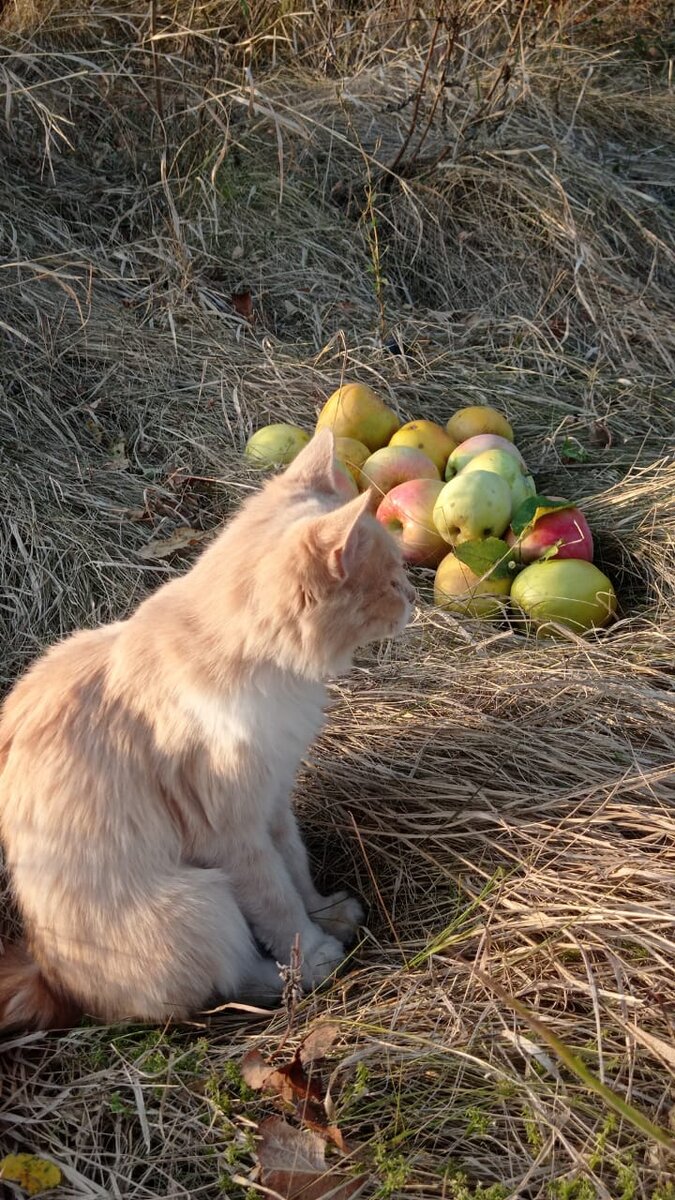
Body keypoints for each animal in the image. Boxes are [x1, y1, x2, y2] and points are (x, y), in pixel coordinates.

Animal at [0, 432, 413, 1032]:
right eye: (391, 579)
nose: (414, 597)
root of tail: (46, 977)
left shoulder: (273, 799)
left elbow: (296, 869)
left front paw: (327, 914)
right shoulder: (230, 832)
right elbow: (277, 904)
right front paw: (313, 951)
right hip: (201, 901)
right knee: (228, 981)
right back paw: (293, 979)